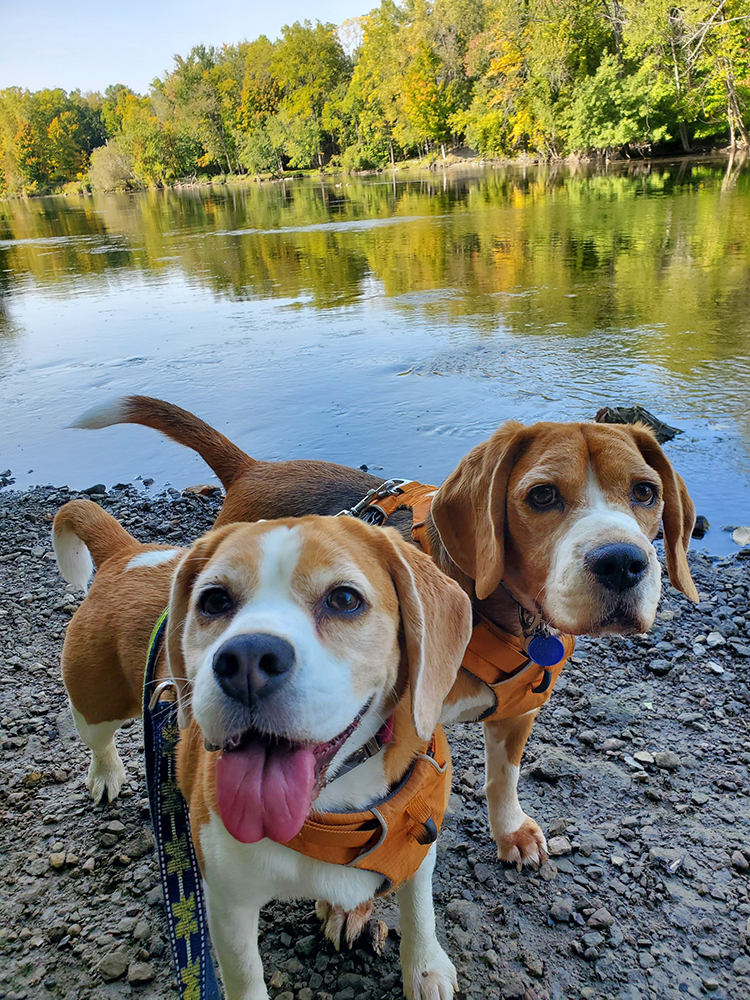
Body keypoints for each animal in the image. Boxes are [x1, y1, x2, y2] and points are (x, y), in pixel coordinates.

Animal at [54, 504, 470, 1000]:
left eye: (344, 599)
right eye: (214, 601)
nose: (247, 659)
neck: (330, 810)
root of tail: (128, 552)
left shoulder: (420, 841)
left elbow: (419, 907)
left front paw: (425, 968)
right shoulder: (228, 902)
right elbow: (244, 975)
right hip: (93, 706)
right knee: (98, 741)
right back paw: (105, 774)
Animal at [73, 396, 704, 876]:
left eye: (645, 493)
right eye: (542, 495)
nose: (622, 563)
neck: (498, 610)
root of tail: (253, 467)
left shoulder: (517, 715)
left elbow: (503, 780)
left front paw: (509, 832)